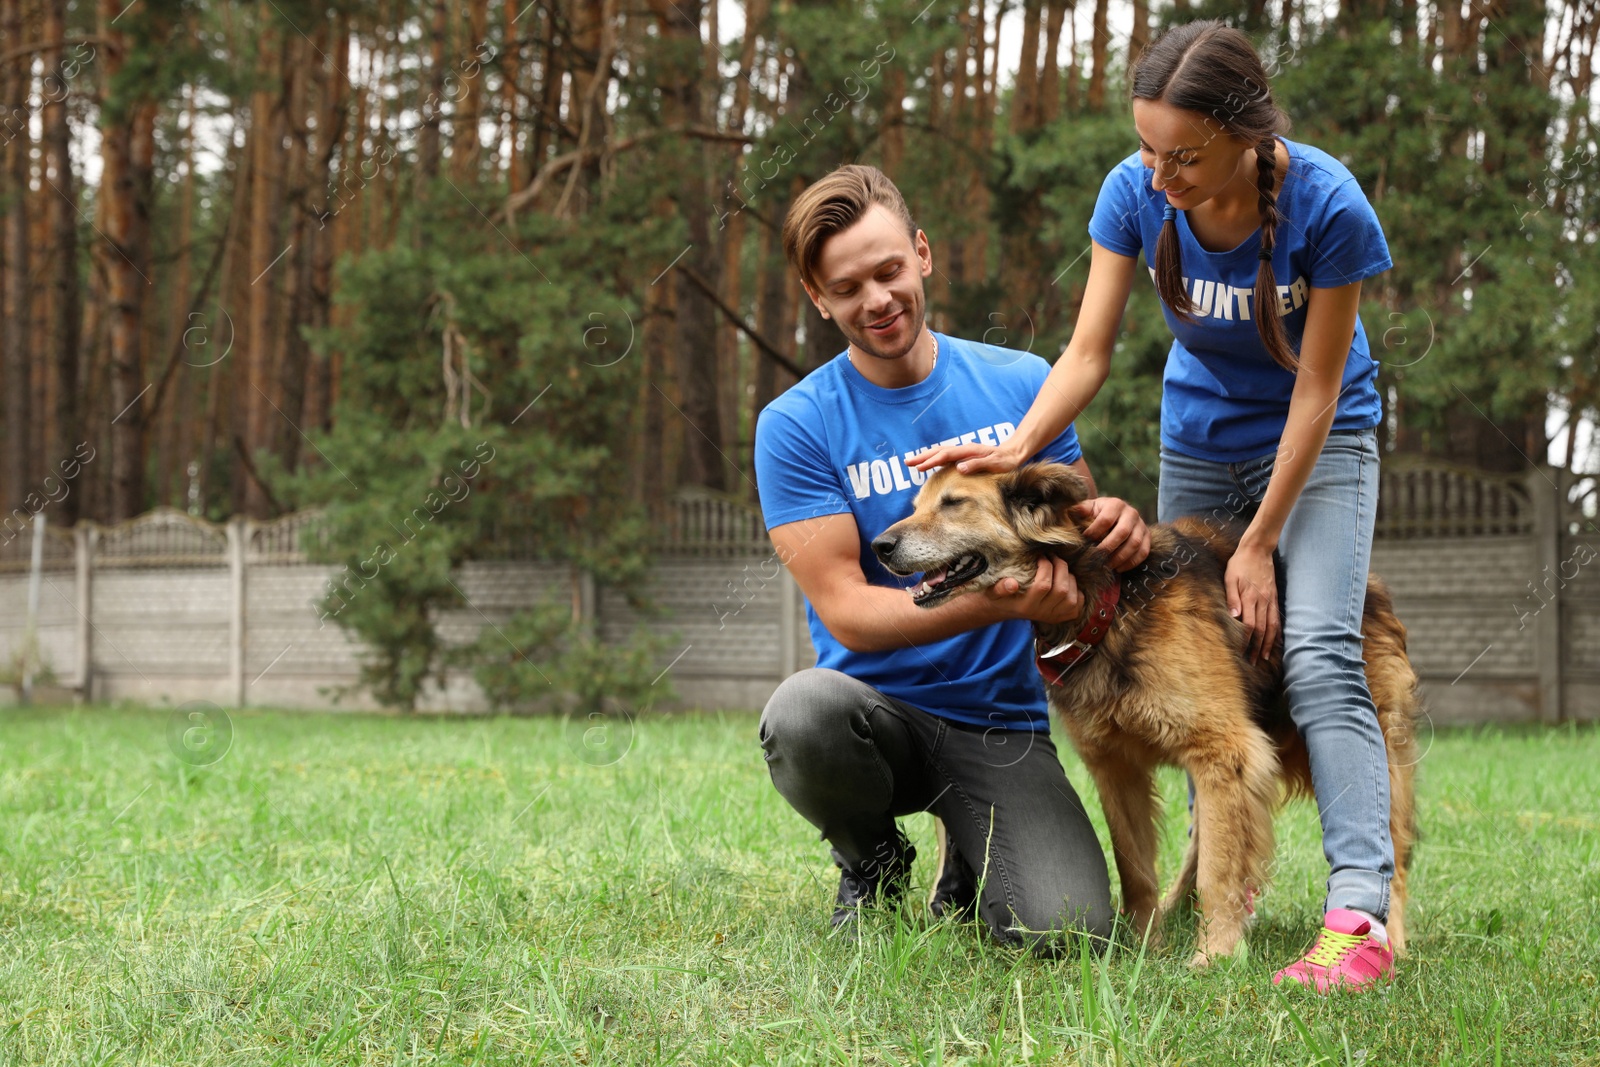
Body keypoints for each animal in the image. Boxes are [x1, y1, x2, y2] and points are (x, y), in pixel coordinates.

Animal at [876, 463, 1427, 966]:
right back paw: (1177, 909)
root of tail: (1373, 588)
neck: (1108, 602)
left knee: (1394, 856)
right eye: (917, 506)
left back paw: (1390, 940)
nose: (881, 545)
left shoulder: (1224, 750)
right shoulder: (1117, 768)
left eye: (954, 503)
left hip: (1371, 750)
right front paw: (1143, 945)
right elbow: (1136, 866)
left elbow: (1220, 870)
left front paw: (1216, 955)